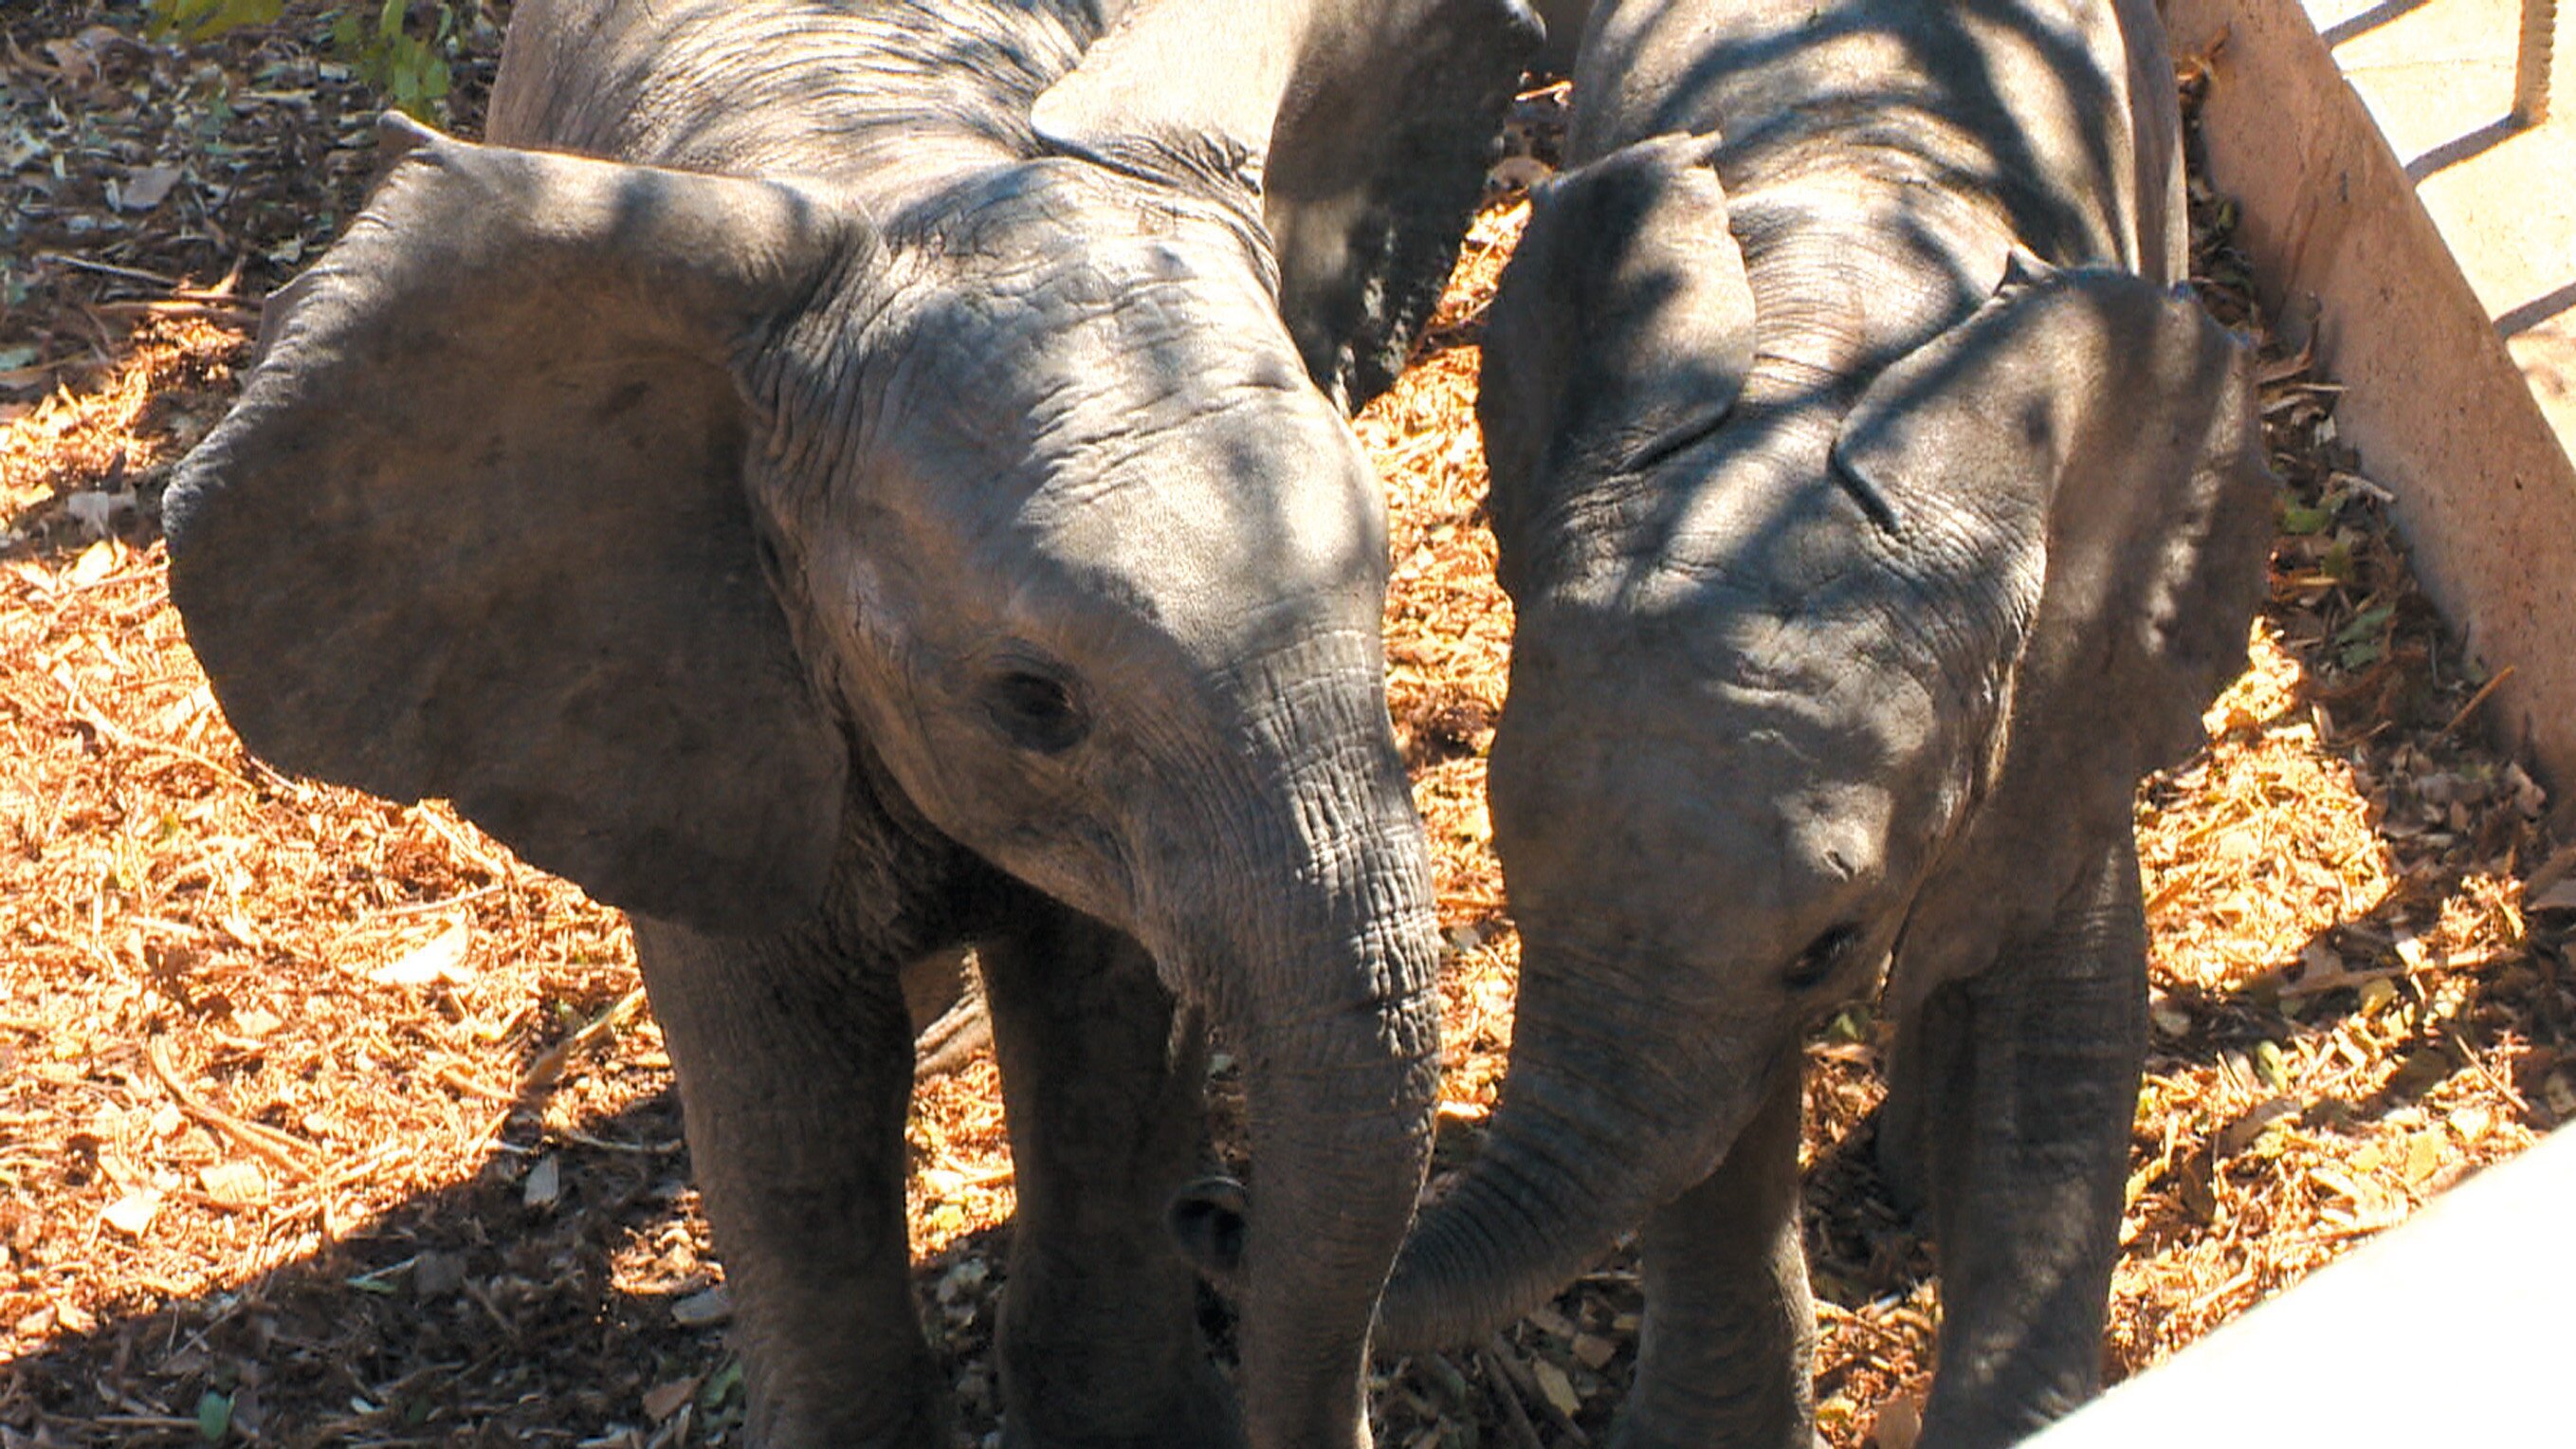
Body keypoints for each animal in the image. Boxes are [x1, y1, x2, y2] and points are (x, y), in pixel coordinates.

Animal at [160, 2, 1545, 1443]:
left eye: (1383, 582)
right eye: (1034, 702)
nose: (1218, 1214)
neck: (897, 162)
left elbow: (1107, 1030)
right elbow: (790, 1106)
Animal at [1349, 0, 2276, 1433]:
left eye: (1827, 946)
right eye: (1507, 876)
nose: (1209, 1215)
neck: (1835, 329)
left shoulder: (2067, 683)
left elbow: (2064, 1019)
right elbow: (1719, 1127)